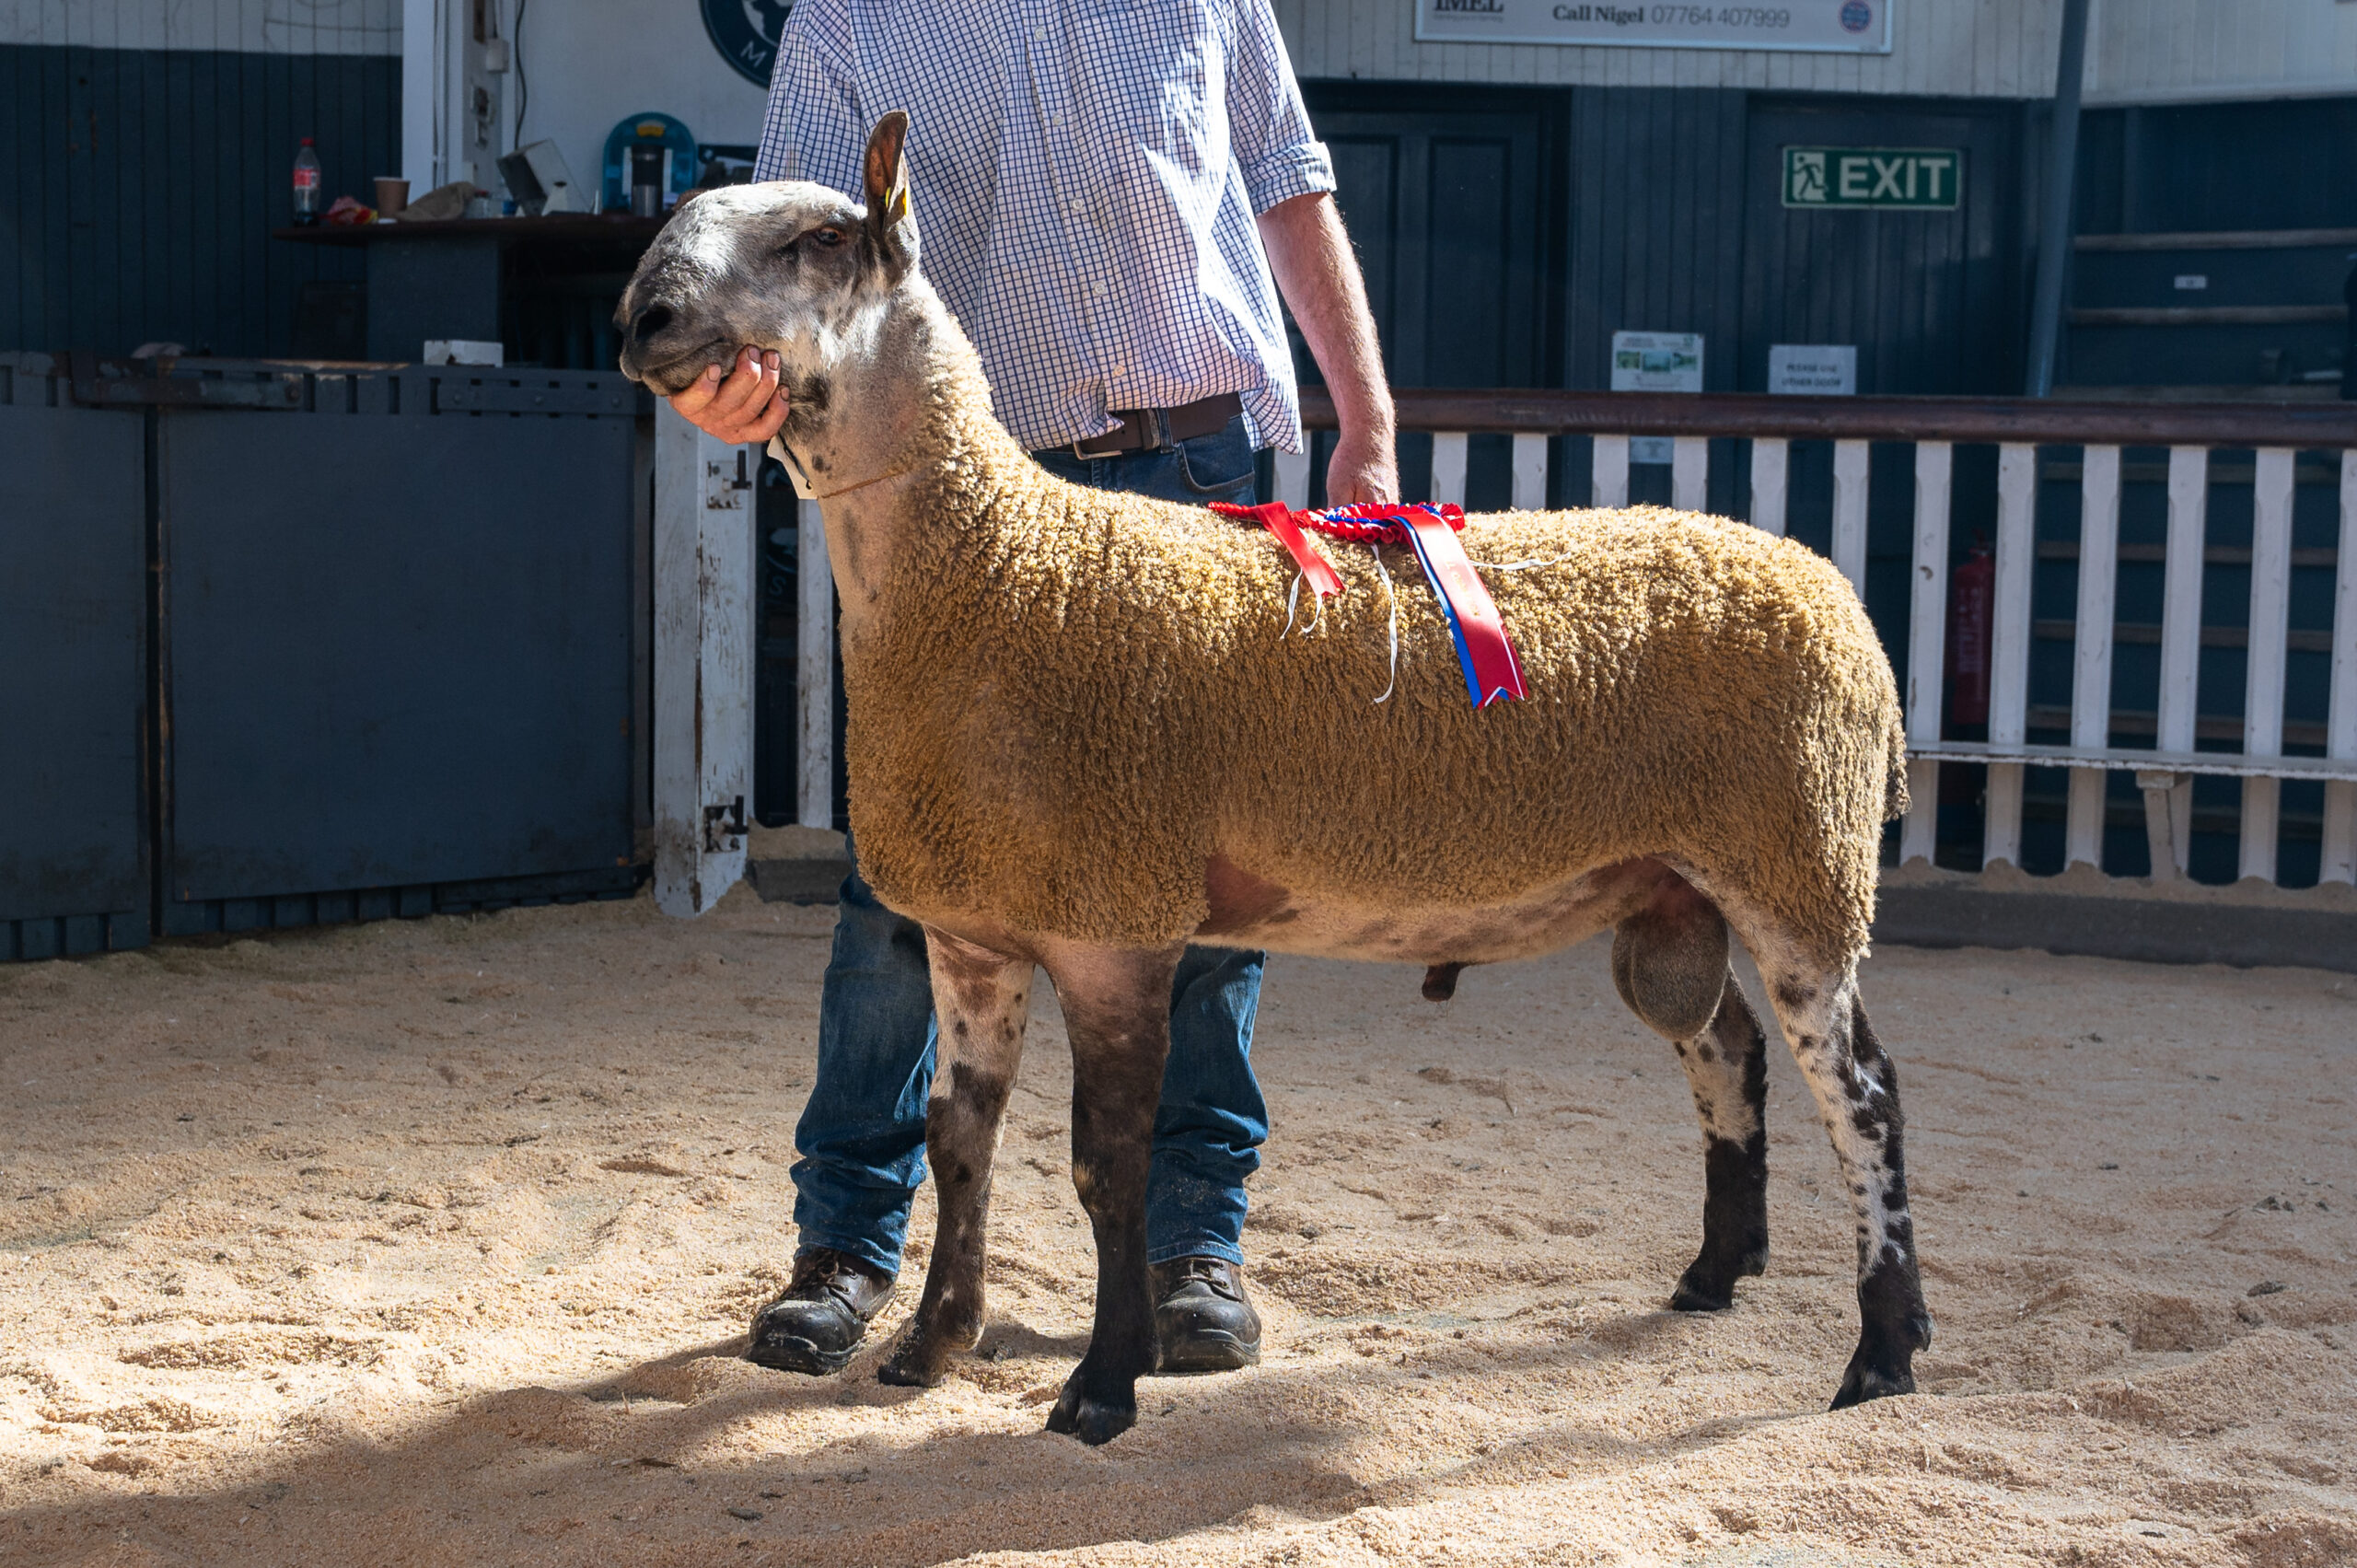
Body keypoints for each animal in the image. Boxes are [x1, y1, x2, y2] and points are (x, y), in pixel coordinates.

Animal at [621, 116, 1933, 1452]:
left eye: (822, 239)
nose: (643, 320)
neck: (996, 570)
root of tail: (1836, 596)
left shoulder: (1118, 920)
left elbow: (1108, 1163)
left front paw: (1102, 1385)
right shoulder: (974, 931)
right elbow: (958, 1140)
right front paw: (933, 1342)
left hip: (1798, 860)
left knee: (1864, 1095)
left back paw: (1882, 1350)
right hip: (1677, 885)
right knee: (1727, 1049)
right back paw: (1718, 1271)